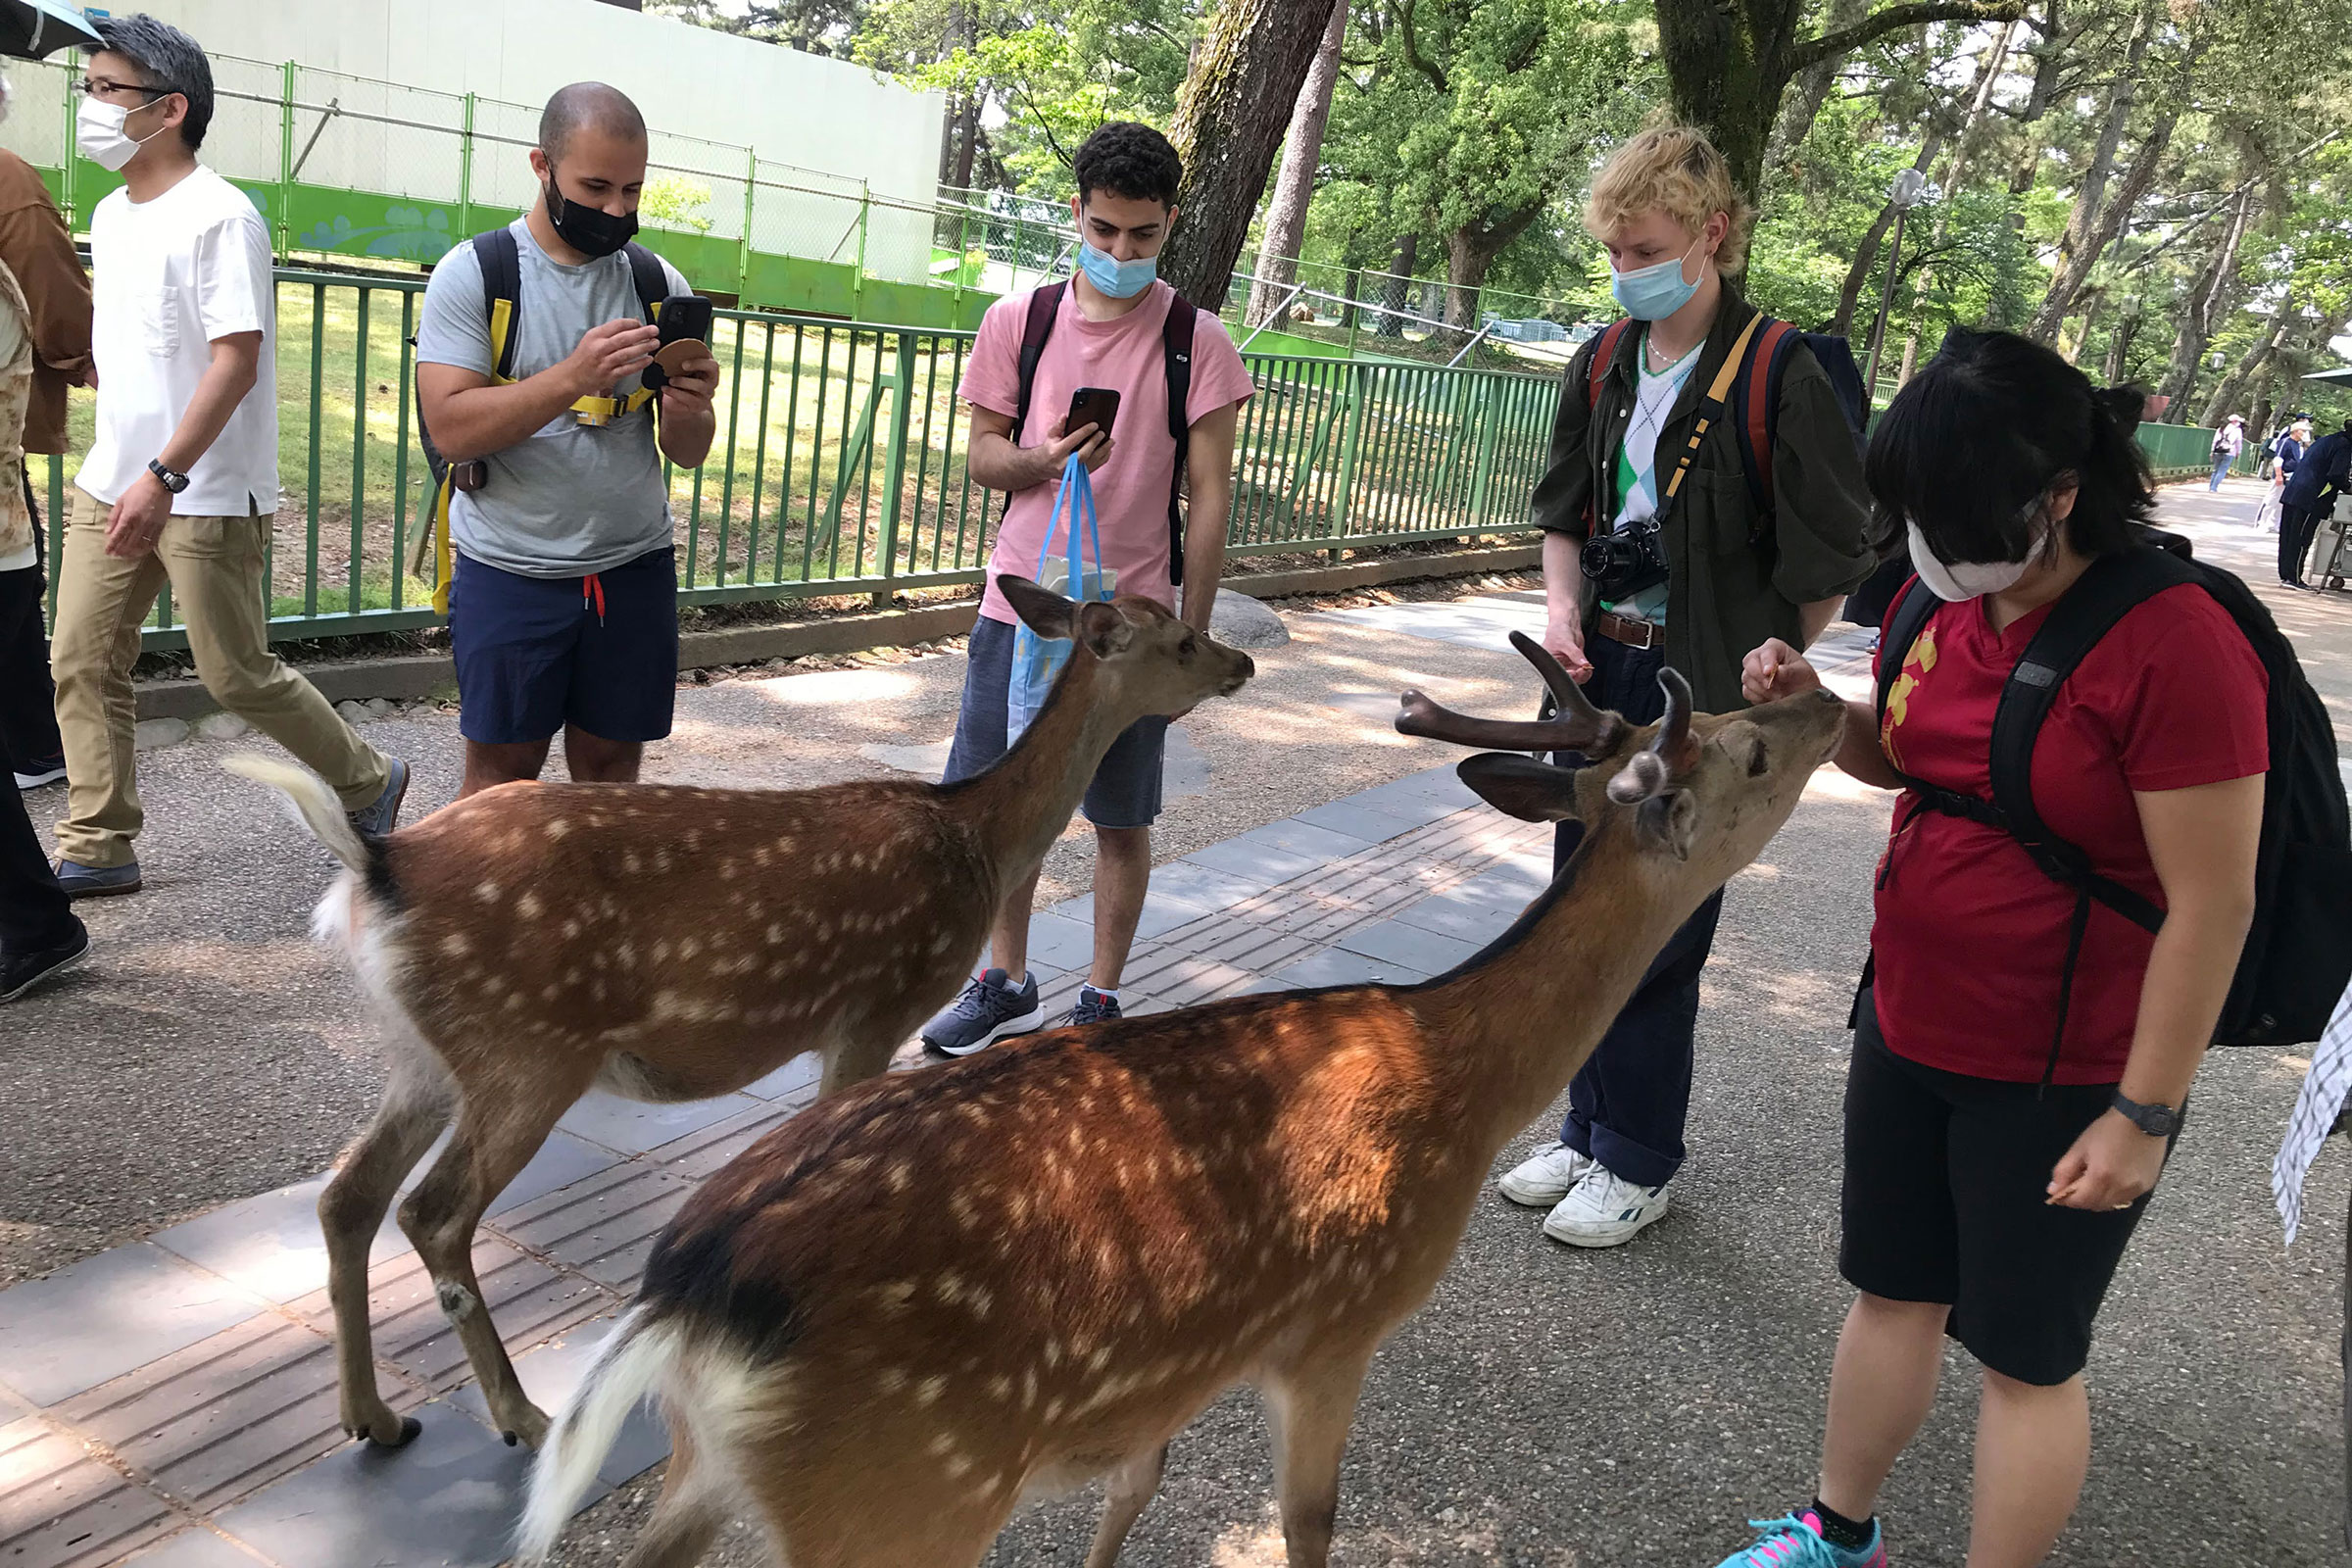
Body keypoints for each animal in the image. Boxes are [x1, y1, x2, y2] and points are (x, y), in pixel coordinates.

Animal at [222, 576, 1255, 1456]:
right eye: (1182, 637)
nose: (1242, 662)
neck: (976, 842)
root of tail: (376, 872)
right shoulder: (876, 1002)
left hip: (425, 1052)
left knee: (347, 1195)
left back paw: (374, 1417)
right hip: (528, 1048)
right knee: (432, 1213)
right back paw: (519, 1416)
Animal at [514, 634, 1848, 1568]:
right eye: (1748, 749)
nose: (1827, 696)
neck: (1458, 1089)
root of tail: (689, 1293)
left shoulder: (1187, 1352)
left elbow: (1135, 1486)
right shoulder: (1334, 1326)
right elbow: (1310, 1523)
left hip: (713, 1475)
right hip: (905, 1489)